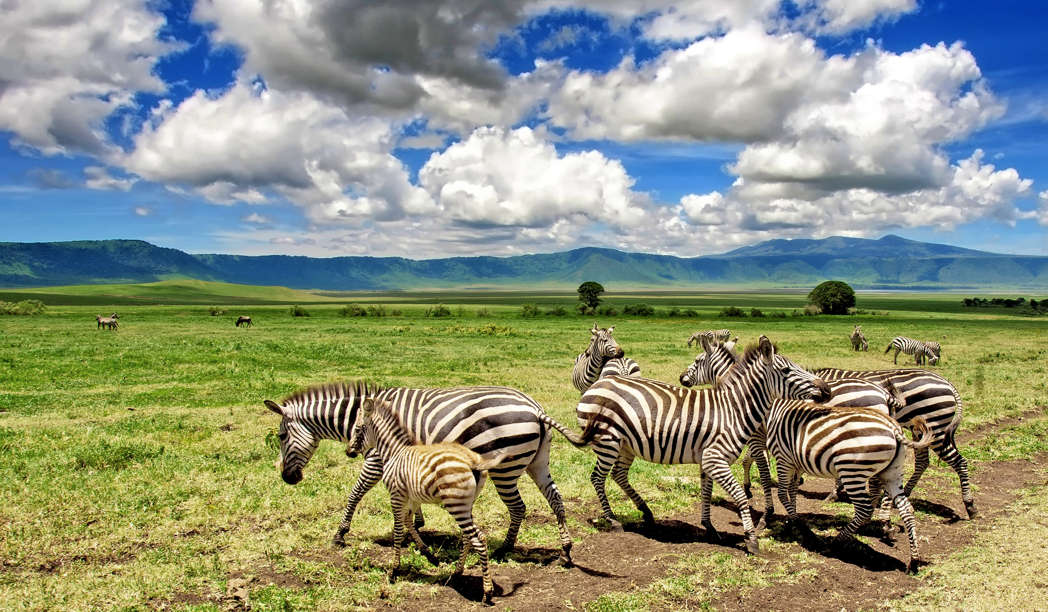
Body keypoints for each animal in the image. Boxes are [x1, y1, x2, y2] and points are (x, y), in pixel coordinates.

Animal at [263, 380, 593, 564]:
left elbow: (355, 494)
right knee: (555, 498)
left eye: (280, 436)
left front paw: (340, 534)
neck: (366, 418)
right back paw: (565, 551)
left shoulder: (376, 459)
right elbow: (410, 498)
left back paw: (504, 550)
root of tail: (535, 407)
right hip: (538, 462)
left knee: (518, 507)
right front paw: (418, 525)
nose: (288, 478)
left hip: (505, 467)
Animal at [346, 397, 515, 605]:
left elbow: (397, 531)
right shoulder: (413, 496)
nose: (348, 451)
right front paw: (428, 554)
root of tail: (473, 462)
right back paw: (456, 574)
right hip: (466, 503)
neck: (394, 452)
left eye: (357, 429)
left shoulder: (396, 494)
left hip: (455, 504)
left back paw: (487, 592)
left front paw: (394, 571)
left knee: (479, 538)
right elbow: (409, 521)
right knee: (468, 536)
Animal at [575, 336, 831, 554]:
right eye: (787, 370)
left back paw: (646, 512)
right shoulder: (715, 458)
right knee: (597, 477)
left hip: (626, 445)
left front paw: (709, 527)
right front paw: (751, 539)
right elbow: (740, 495)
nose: (827, 389)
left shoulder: (708, 460)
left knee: (618, 474)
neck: (733, 410)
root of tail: (597, 384)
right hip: (608, 441)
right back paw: (613, 520)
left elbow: (706, 492)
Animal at [765, 402, 933, 573]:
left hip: (852, 471)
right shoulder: (796, 462)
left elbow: (782, 493)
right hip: (892, 473)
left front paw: (800, 527)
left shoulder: (783, 458)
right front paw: (792, 522)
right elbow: (792, 491)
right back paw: (914, 561)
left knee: (864, 509)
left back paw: (835, 544)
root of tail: (894, 427)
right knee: (907, 509)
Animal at [815, 367, 975, 518]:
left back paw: (969, 505)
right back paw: (903, 494)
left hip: (936, 427)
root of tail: (946, 382)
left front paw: (835, 492)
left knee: (959, 461)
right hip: (920, 431)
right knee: (922, 462)